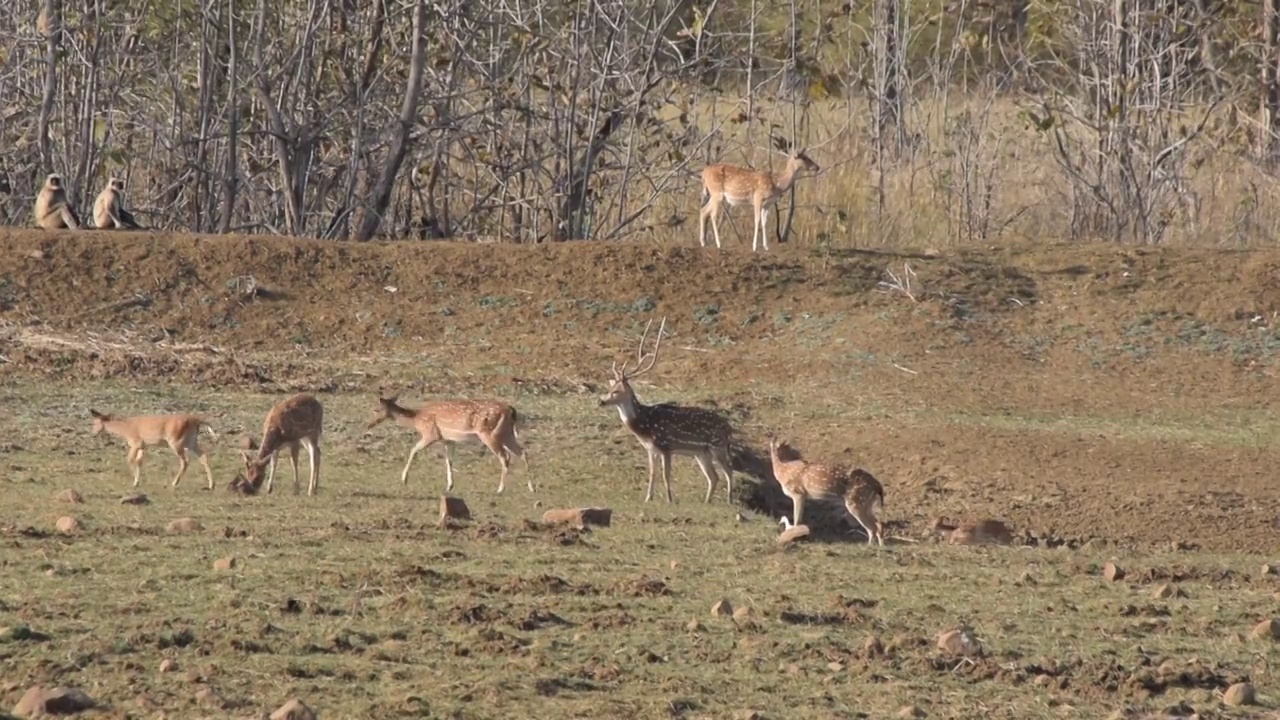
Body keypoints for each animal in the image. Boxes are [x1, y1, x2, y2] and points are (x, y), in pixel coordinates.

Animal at [366, 392, 529, 491]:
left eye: (375, 409)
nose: (369, 424)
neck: (417, 419)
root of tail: (511, 410)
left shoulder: (431, 434)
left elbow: (413, 450)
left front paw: (404, 479)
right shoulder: (448, 440)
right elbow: (449, 460)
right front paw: (450, 486)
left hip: (489, 433)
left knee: (505, 456)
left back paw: (500, 489)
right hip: (506, 433)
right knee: (523, 452)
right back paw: (530, 488)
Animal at [596, 316, 737, 502]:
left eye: (616, 391)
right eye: (609, 389)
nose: (601, 401)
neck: (644, 426)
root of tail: (728, 428)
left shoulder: (665, 445)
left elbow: (665, 475)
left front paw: (670, 500)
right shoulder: (651, 449)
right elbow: (652, 473)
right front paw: (648, 498)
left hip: (717, 446)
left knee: (729, 471)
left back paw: (729, 500)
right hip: (702, 453)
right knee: (713, 477)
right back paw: (707, 501)